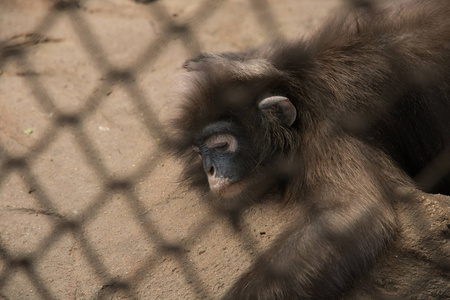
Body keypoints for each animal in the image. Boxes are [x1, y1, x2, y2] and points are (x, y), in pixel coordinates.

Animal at [166, 1, 450, 298]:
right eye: (200, 153)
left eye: (221, 145)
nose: (209, 170)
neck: (304, 95)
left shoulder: (328, 136)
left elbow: (352, 212)